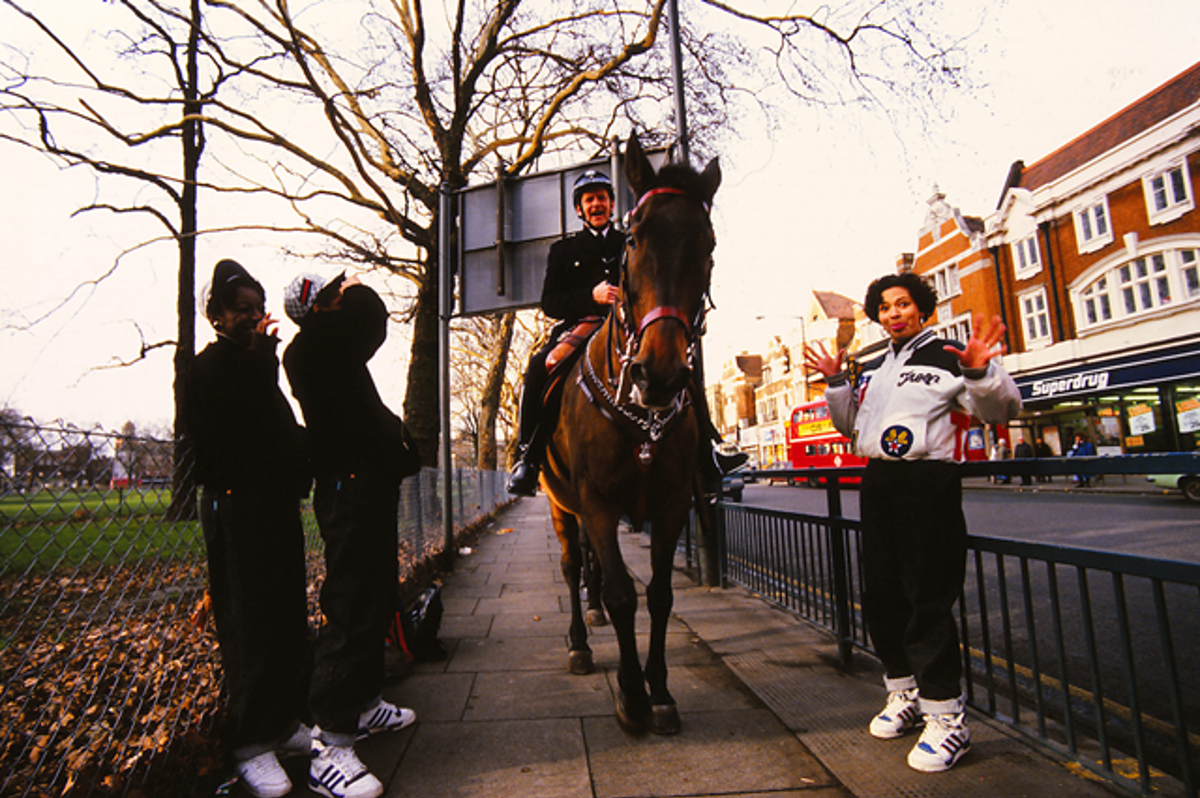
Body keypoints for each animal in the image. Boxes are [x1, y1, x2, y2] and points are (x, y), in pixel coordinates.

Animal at [544, 132, 720, 734]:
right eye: (635, 238)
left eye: (708, 245)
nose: (659, 374)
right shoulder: (595, 502)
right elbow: (623, 595)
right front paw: (631, 696)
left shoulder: (671, 503)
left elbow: (661, 596)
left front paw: (660, 690)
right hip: (560, 503)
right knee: (573, 565)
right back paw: (578, 642)